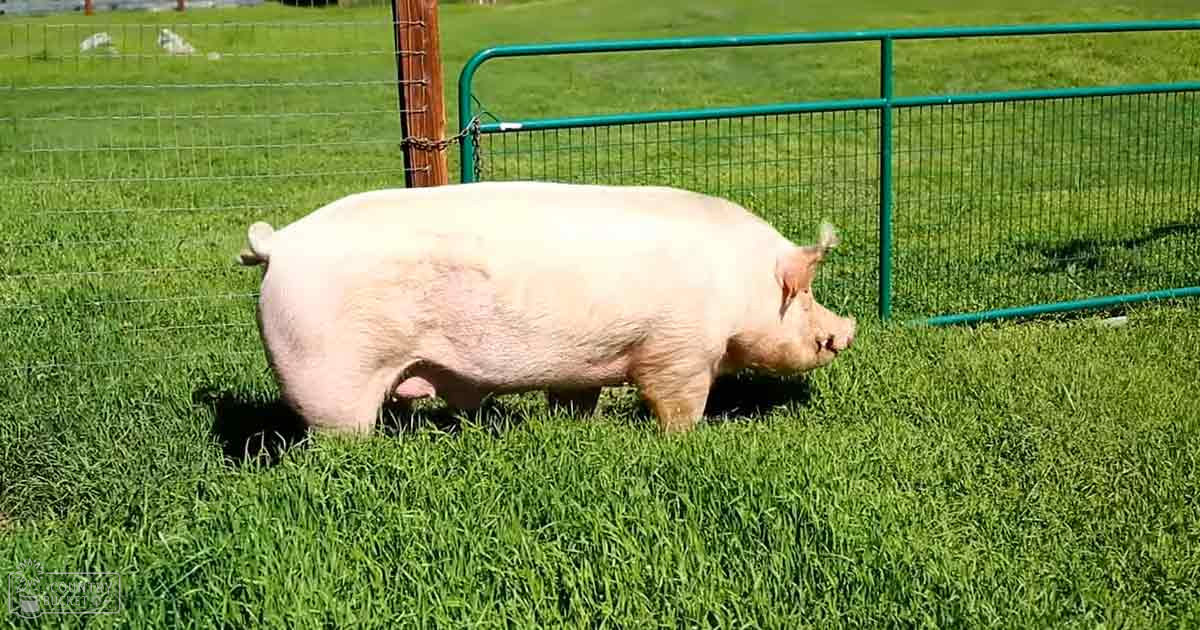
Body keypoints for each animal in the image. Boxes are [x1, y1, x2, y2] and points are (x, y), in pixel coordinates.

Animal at [237, 181, 856, 435]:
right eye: (802, 293)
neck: (736, 284)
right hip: (328, 375)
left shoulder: (586, 365)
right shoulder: (677, 350)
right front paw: (687, 441)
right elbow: (679, 404)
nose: (847, 331)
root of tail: (281, 244)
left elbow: (578, 400)